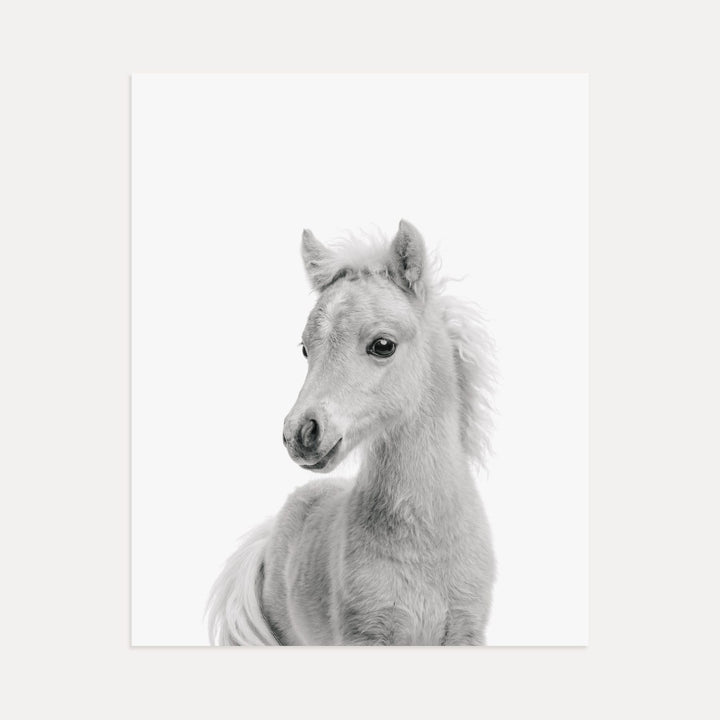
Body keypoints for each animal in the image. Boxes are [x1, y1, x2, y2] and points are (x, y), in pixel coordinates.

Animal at [207, 220, 496, 645]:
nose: (300, 433)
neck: (425, 544)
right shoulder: (363, 636)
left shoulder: (465, 634)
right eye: (306, 348)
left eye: (383, 345)